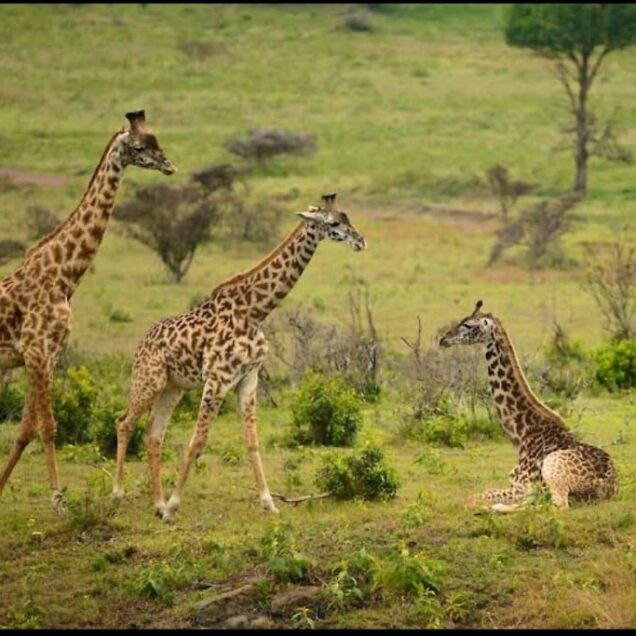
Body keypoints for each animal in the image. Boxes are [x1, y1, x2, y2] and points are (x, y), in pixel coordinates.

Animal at [0, 108, 175, 506]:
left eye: (157, 141)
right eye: (140, 146)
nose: (169, 166)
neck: (64, 276)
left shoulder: (44, 355)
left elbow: (26, 430)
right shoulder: (37, 352)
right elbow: (48, 427)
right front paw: (58, 500)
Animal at [112, 191, 366, 520]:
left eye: (347, 217)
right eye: (334, 223)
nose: (361, 240)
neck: (255, 311)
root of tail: (141, 343)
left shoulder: (248, 378)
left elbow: (252, 442)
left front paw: (269, 503)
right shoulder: (217, 380)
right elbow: (197, 441)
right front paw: (174, 506)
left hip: (173, 388)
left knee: (154, 436)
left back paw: (156, 503)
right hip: (149, 380)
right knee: (124, 422)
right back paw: (119, 494)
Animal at [438, 300, 616, 516]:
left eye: (468, 325)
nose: (444, 339)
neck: (522, 434)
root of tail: (607, 486)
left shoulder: (522, 485)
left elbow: (473, 498)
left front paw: (489, 505)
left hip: (553, 469)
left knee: (558, 505)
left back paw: (497, 508)